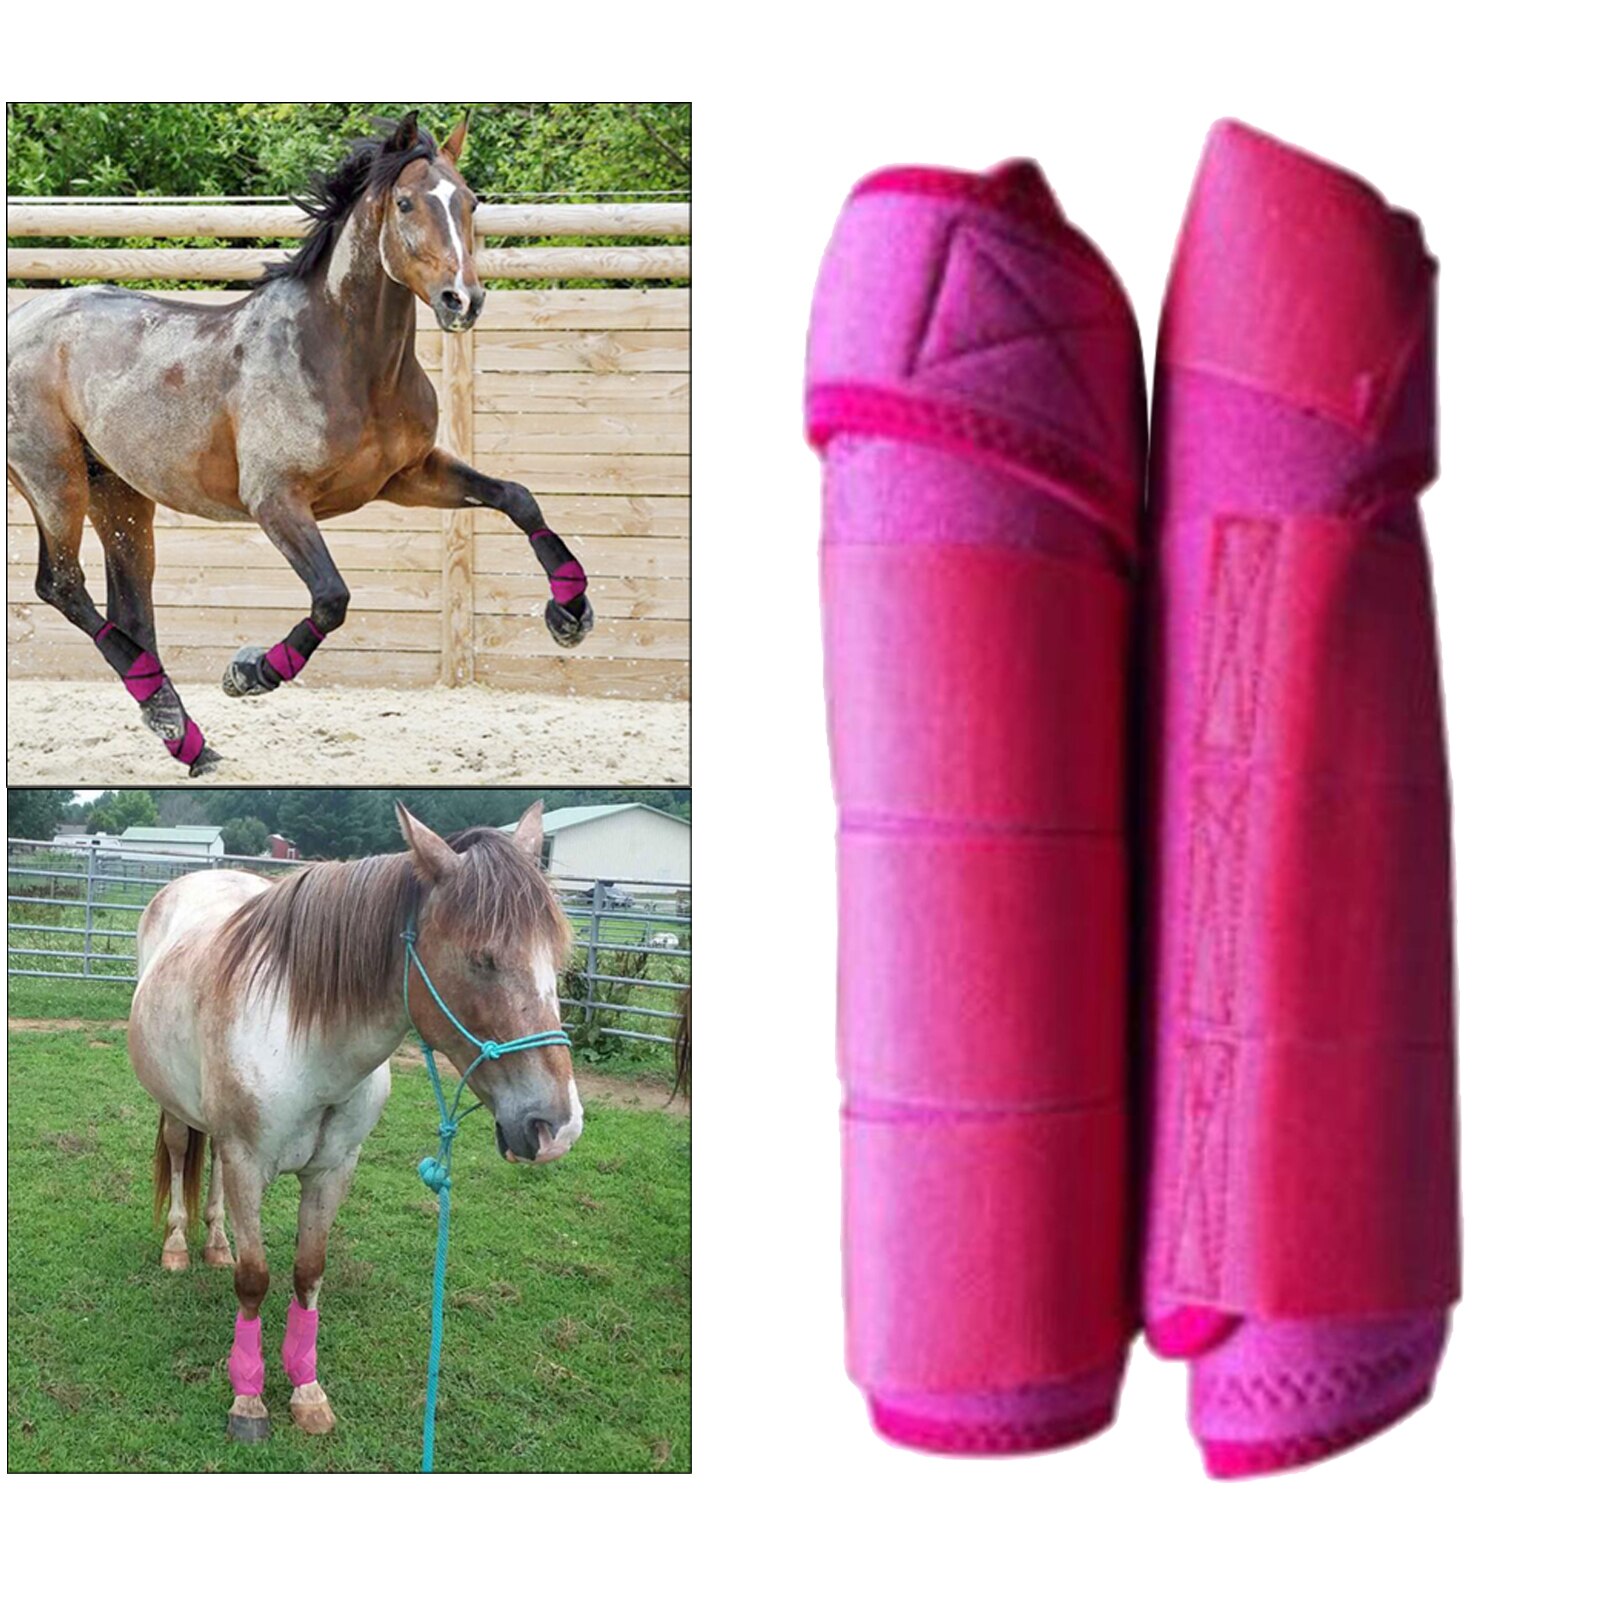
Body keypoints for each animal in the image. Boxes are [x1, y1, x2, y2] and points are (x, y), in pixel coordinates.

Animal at [6, 112, 594, 777]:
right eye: (406, 203)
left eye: (470, 202)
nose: (462, 301)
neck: (346, 360)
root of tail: (21, 319)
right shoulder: (276, 501)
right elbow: (332, 597)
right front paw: (250, 672)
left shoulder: (410, 476)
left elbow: (518, 498)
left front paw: (570, 616)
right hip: (55, 479)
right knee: (61, 585)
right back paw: (180, 722)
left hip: (121, 492)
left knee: (130, 605)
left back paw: (184, 735)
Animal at [128, 800, 582, 1442]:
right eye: (482, 959)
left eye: (556, 960)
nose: (557, 1127)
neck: (307, 1045)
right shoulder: (248, 1162)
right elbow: (255, 1278)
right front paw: (248, 1399)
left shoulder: (333, 1170)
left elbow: (308, 1271)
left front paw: (307, 1391)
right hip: (173, 1106)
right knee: (176, 1151)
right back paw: (177, 1247)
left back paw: (215, 1244)